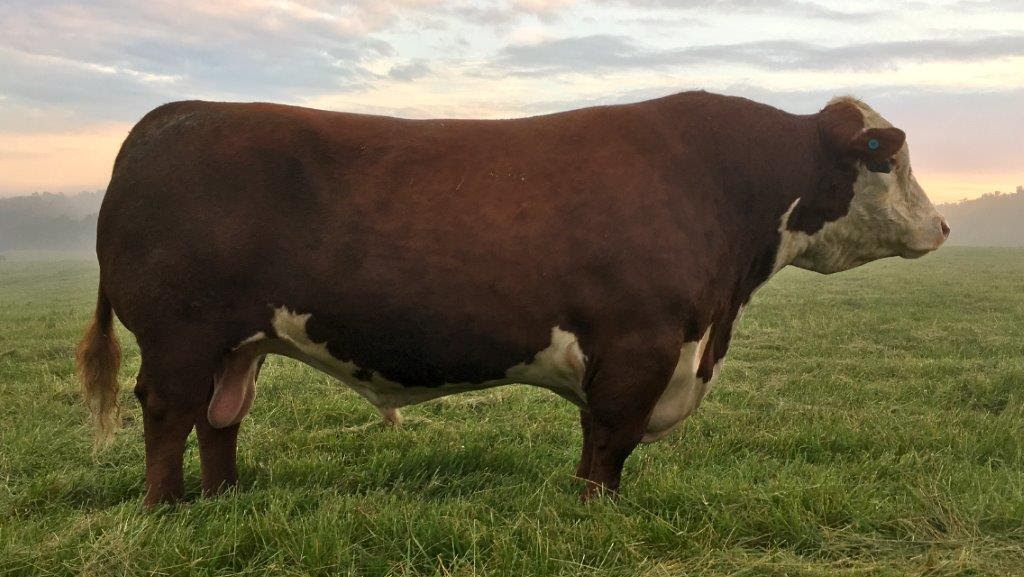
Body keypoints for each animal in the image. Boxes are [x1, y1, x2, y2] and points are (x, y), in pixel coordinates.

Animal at [76, 91, 948, 506]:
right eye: (889, 156)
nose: (942, 225)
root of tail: (173, 116)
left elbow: (601, 442)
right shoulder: (638, 343)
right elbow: (609, 441)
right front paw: (597, 511)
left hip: (239, 341)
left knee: (221, 416)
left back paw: (225, 496)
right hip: (180, 333)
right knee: (169, 412)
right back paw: (168, 509)